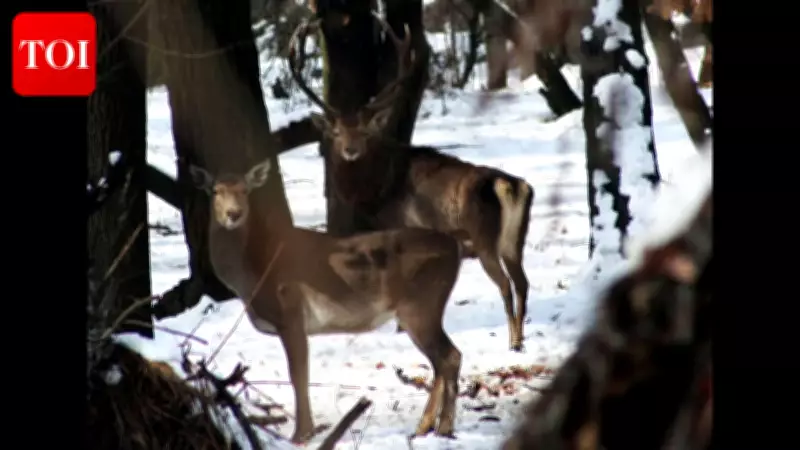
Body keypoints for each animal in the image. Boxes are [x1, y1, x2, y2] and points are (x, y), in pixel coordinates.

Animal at [188, 157, 464, 443]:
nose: (233, 214)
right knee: (441, 361)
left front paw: (301, 434)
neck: (251, 276)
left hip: (420, 305)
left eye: (245, 190)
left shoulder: (291, 315)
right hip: (420, 310)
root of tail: (454, 246)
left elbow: (298, 375)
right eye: (215, 191)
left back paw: (443, 427)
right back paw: (424, 427)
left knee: (449, 356)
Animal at [289, 15, 535, 352]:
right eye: (336, 132)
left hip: (485, 239)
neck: (376, 189)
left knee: (506, 285)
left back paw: (512, 343)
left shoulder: (399, 226)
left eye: (365, 131)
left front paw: (400, 328)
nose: (350, 150)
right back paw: (520, 340)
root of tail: (510, 186)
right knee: (523, 282)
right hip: (514, 240)